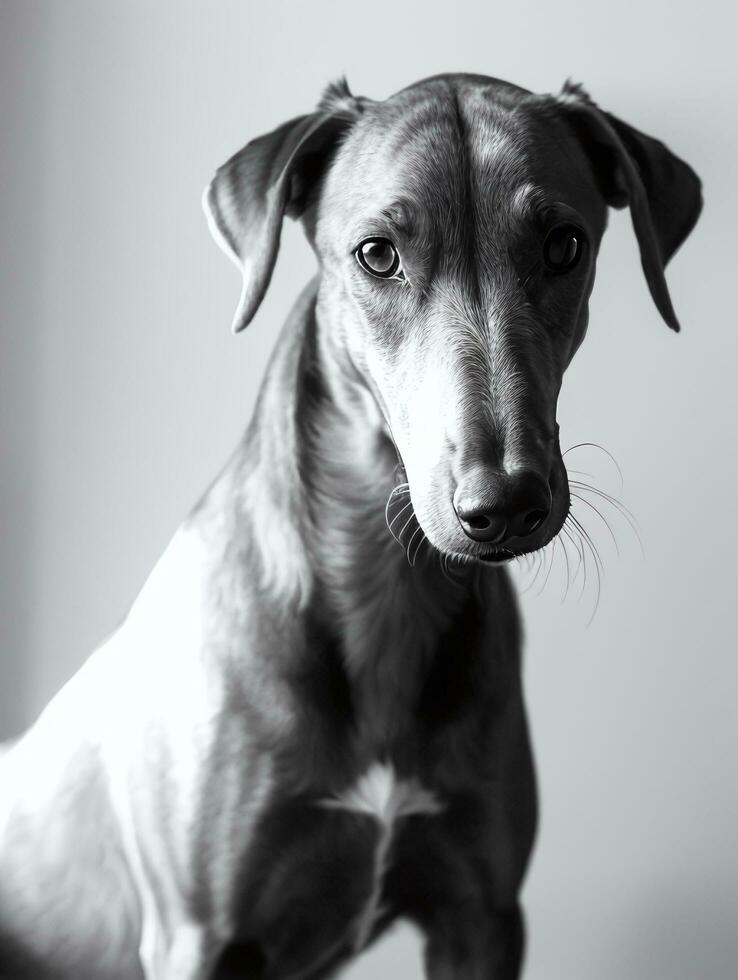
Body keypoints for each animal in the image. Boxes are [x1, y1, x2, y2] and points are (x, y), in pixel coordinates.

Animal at [0, 72, 700, 976]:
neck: (385, 591)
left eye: (563, 246)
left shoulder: (482, 914)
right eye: (377, 253)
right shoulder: (198, 933)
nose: (506, 502)